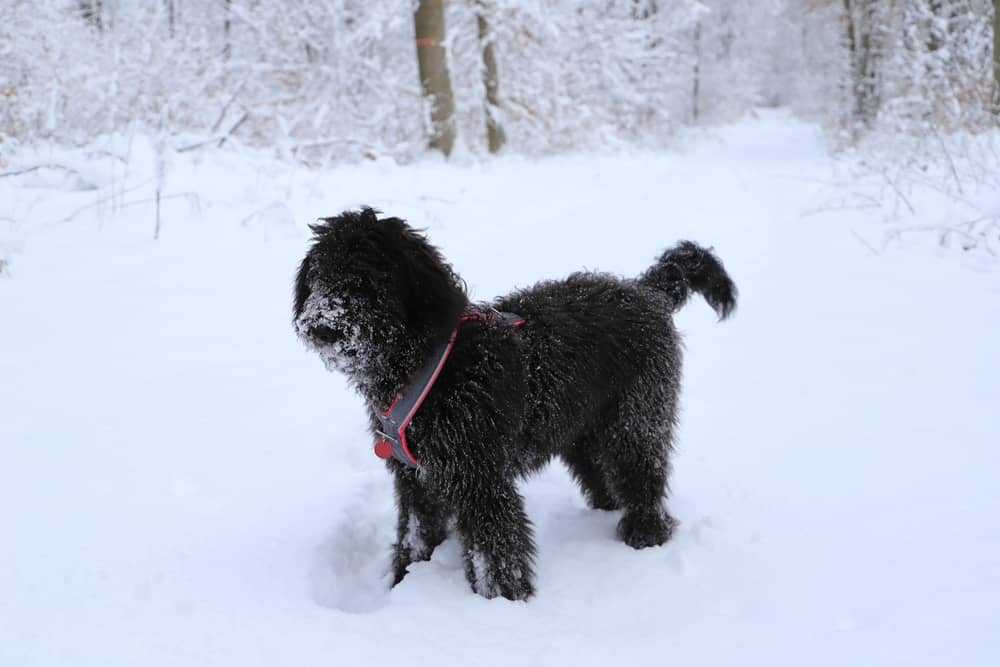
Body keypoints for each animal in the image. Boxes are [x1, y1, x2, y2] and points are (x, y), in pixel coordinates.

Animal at [292, 207, 740, 600]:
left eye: (369, 279)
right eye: (321, 275)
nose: (322, 325)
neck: (428, 366)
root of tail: (645, 290)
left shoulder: (479, 478)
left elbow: (495, 549)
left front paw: (502, 602)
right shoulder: (416, 479)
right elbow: (416, 535)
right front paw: (404, 580)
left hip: (636, 417)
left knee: (643, 474)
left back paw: (645, 532)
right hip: (581, 430)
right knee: (604, 476)